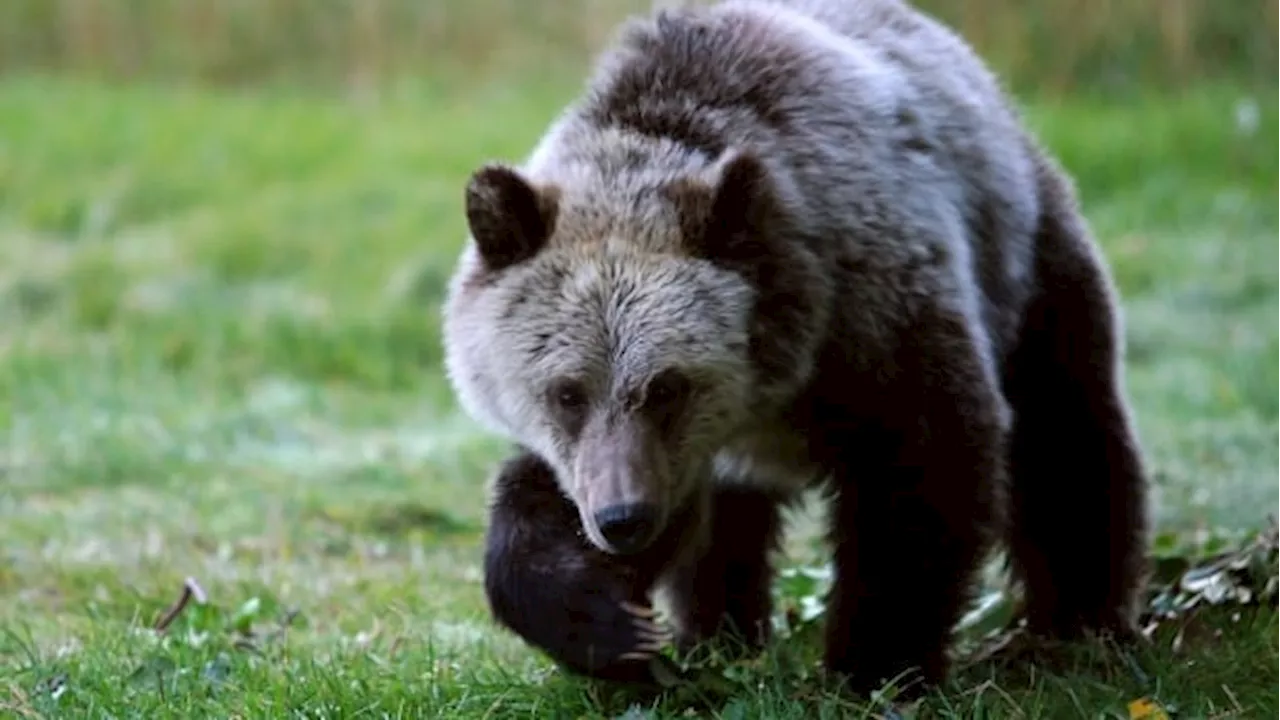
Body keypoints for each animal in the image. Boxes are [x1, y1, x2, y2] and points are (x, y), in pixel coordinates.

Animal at [440, 0, 1152, 691]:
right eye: (566, 392)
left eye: (667, 385)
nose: (622, 519)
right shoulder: (650, 455)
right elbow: (549, 503)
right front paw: (604, 621)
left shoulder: (878, 316)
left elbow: (924, 470)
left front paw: (873, 666)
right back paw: (718, 635)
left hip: (1024, 262)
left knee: (1067, 436)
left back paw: (1077, 624)